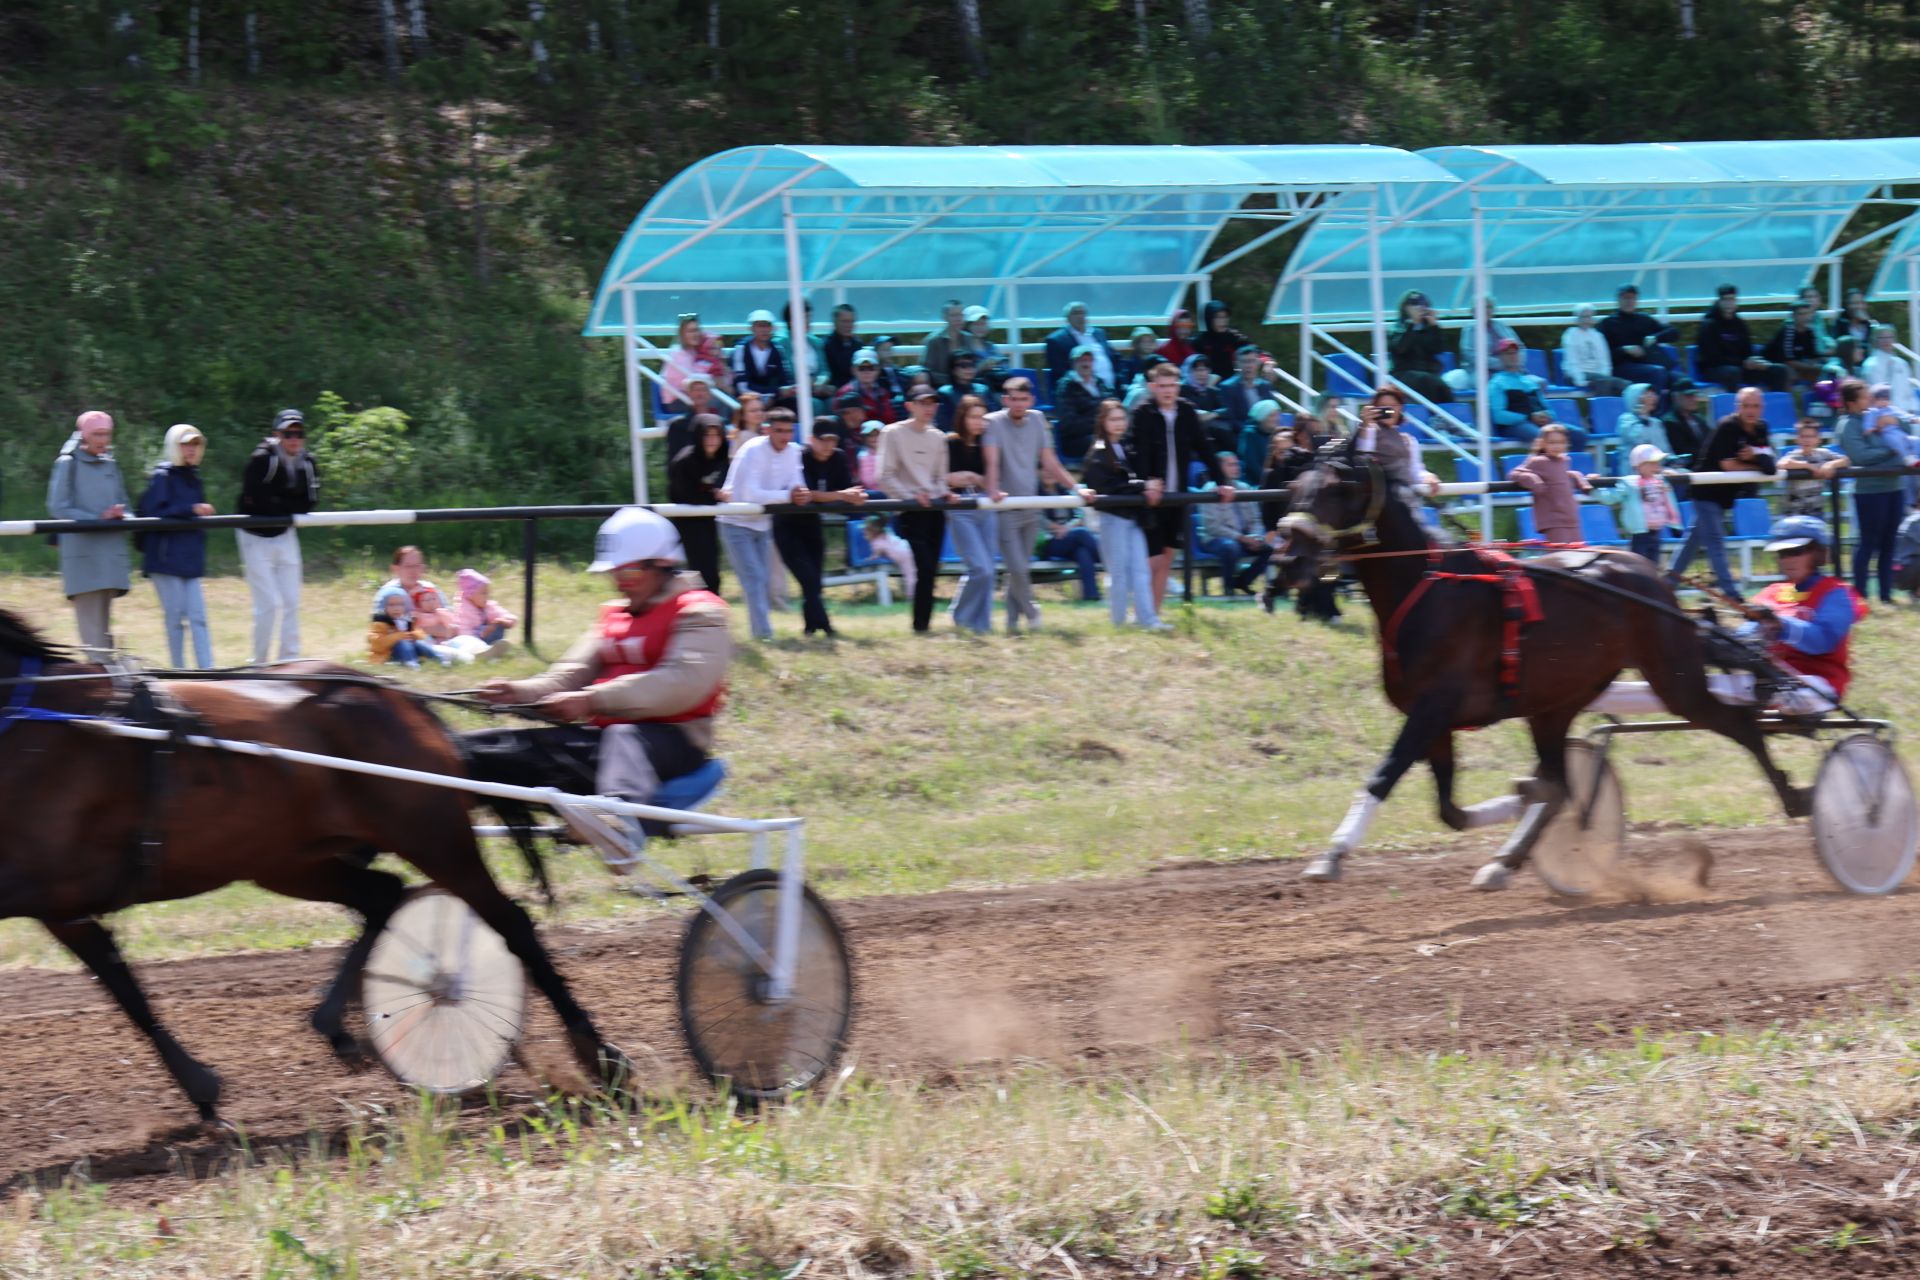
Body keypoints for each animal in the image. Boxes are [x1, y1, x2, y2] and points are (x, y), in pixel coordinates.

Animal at [0, 610, 625, 1120]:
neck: (33, 718)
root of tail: (403, 701)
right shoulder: (63, 905)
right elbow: (122, 986)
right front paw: (200, 1088)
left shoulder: (46, 891)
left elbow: (120, 984)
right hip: (287, 859)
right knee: (383, 893)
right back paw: (334, 1026)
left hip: (429, 835)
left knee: (509, 922)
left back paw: (602, 1057)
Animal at [1274, 443, 1797, 890]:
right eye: (1295, 485)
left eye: (1339, 487)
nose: (1287, 560)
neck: (1429, 588)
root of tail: (1653, 575)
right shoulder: (1434, 720)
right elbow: (1449, 808)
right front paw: (1518, 801)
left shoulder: (1432, 709)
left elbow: (1384, 775)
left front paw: (1332, 855)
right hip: (1555, 704)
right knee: (1561, 785)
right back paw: (1506, 859)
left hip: (1675, 680)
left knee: (1742, 726)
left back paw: (1796, 795)